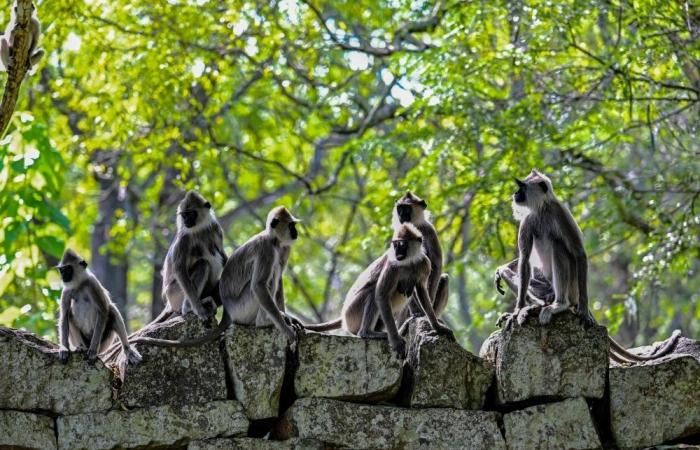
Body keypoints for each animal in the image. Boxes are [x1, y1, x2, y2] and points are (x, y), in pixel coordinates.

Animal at [125, 206, 304, 350]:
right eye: (291, 225)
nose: (295, 233)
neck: (273, 240)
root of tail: (228, 312)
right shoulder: (266, 249)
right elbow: (259, 285)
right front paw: (286, 330)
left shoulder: (282, 249)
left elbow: (278, 278)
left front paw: (288, 317)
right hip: (243, 307)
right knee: (265, 281)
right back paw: (263, 321)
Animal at [392, 191, 452, 334]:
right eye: (399, 208)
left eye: (407, 209)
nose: (401, 215)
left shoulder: (429, 230)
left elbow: (436, 265)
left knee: (444, 279)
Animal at [492, 171, 680, 364]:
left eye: (522, 187)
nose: (515, 194)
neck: (542, 209)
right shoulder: (528, 219)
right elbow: (525, 259)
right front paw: (517, 310)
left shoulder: (560, 212)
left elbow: (579, 253)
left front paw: (583, 310)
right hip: (545, 290)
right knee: (523, 273)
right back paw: (532, 307)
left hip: (572, 288)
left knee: (558, 245)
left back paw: (559, 305)